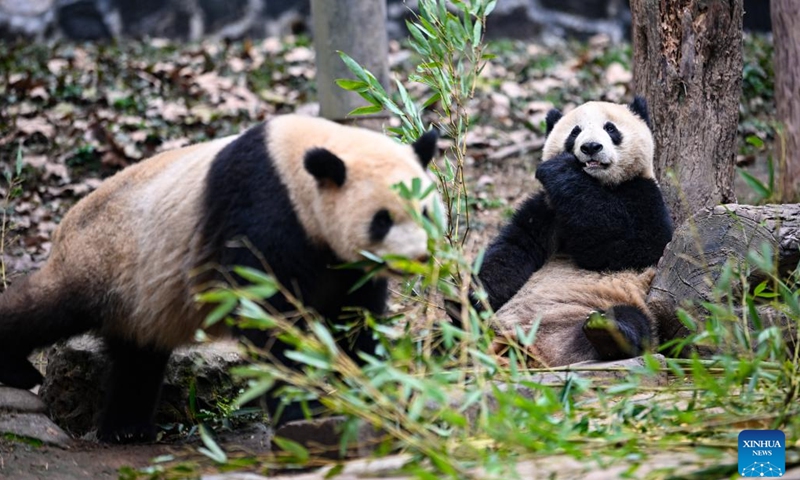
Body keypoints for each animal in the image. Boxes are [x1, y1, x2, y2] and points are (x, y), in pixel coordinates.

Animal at [0, 115, 442, 443]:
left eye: (426, 211)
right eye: (382, 220)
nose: (415, 260)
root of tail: (65, 222)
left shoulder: (341, 260)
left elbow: (355, 319)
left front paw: (376, 391)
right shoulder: (262, 210)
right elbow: (269, 318)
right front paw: (304, 413)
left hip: (140, 295)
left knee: (138, 355)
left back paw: (126, 429)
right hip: (104, 257)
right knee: (48, 308)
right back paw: (18, 370)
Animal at [476, 97, 673, 366]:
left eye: (610, 128)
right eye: (574, 132)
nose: (591, 147)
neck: (597, 183)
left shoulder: (644, 194)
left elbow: (635, 245)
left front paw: (562, 169)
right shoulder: (546, 209)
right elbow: (515, 247)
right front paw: (477, 294)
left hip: (616, 304)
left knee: (635, 322)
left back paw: (606, 331)